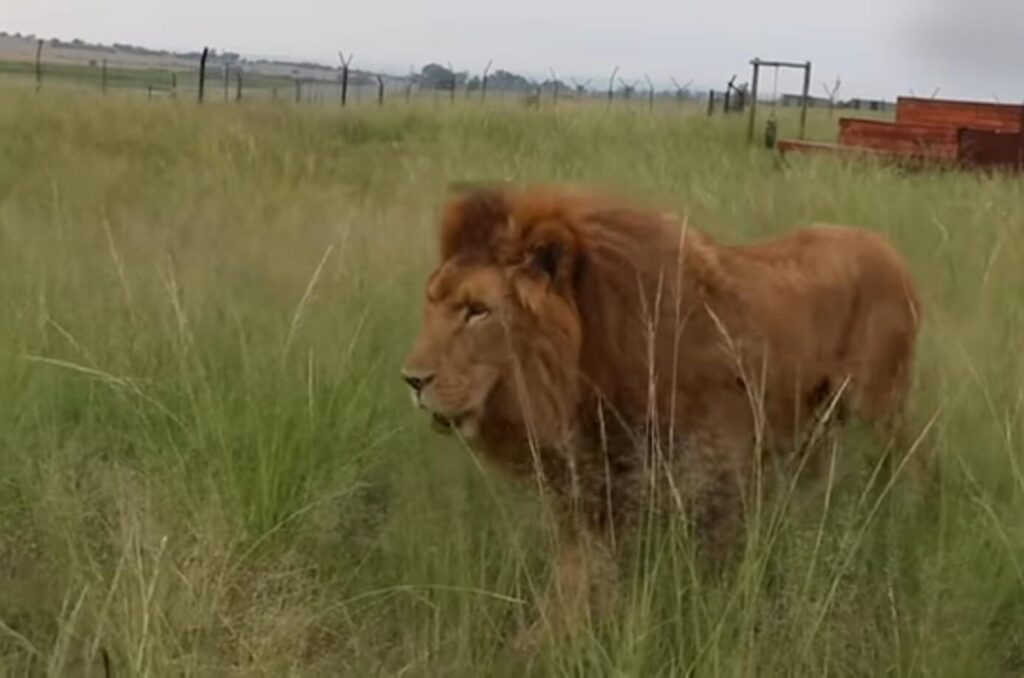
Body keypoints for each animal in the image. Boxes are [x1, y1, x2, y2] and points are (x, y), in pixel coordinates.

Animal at [401, 182, 929, 639]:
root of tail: (892, 252)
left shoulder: (715, 474)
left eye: (477, 311)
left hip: (878, 409)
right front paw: (549, 642)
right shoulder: (594, 492)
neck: (584, 370)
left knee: (911, 460)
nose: (411, 380)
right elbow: (574, 582)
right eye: (432, 303)